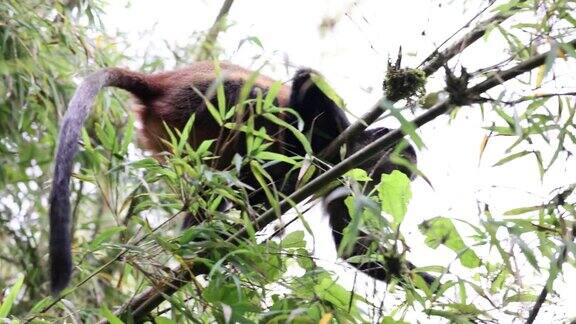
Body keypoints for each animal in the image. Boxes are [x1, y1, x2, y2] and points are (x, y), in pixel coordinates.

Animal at [49, 60, 432, 294]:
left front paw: (432, 285)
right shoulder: (343, 142)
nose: (406, 182)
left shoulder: (347, 183)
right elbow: (307, 85)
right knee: (255, 104)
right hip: (200, 101)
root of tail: (161, 83)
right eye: (403, 164)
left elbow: (353, 246)